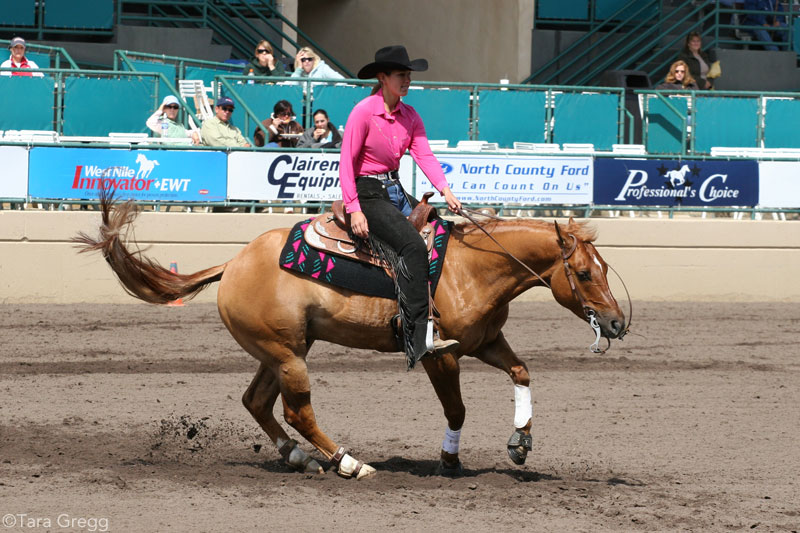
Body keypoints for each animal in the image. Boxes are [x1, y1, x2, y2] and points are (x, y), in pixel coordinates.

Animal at [75, 195, 628, 478]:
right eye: (582, 272)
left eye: (603, 269)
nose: (617, 323)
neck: (471, 268)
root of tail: (232, 263)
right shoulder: (438, 355)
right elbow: (457, 408)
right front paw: (450, 459)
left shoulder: (485, 343)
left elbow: (522, 371)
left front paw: (521, 442)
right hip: (288, 355)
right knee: (296, 410)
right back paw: (347, 462)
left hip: (283, 351)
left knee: (257, 402)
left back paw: (299, 456)